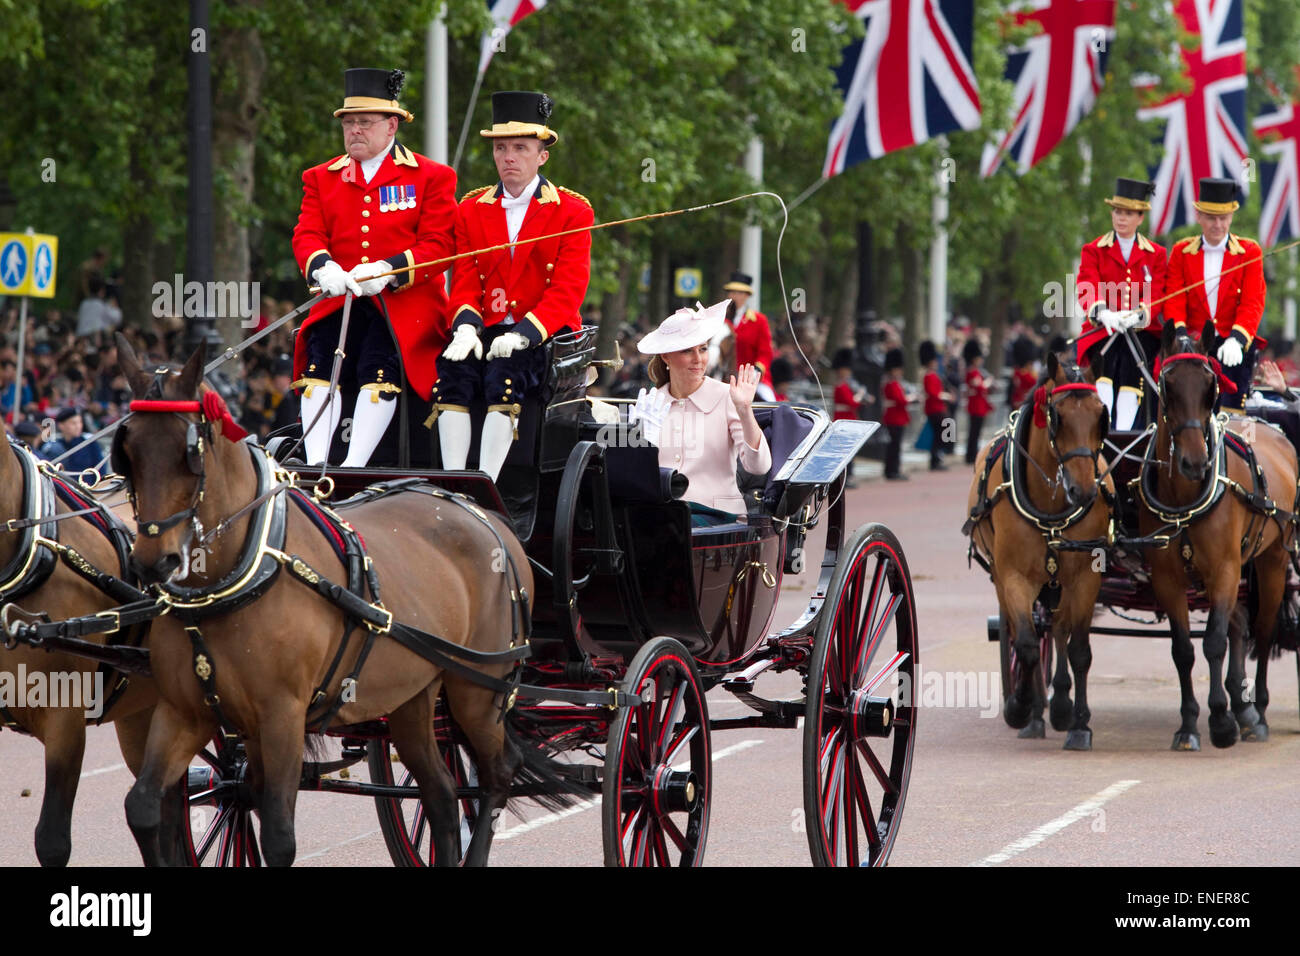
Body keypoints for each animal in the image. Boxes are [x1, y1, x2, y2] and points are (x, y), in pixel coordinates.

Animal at [109, 338, 540, 868]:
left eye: (190, 452)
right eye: (127, 451)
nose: (154, 561)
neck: (240, 574)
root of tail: (485, 514)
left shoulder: (283, 715)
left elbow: (278, 834)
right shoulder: (185, 712)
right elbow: (146, 805)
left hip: (478, 689)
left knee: (498, 774)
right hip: (413, 694)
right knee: (440, 793)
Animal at [972, 351, 1112, 749]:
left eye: (1101, 415)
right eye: (1057, 416)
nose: (1083, 491)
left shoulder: (1085, 577)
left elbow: (1079, 650)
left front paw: (1079, 724)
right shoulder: (1013, 576)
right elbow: (1027, 645)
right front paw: (1020, 706)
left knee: (1060, 631)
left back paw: (1061, 704)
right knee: (1035, 633)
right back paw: (1035, 714)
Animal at [1138, 325, 1289, 749]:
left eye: (1210, 386)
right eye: (1168, 385)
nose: (1194, 463)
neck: (1184, 496)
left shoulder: (1223, 569)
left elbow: (1214, 642)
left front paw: (1220, 721)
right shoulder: (1167, 578)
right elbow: (1184, 650)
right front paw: (1189, 724)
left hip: (1273, 559)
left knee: (1263, 630)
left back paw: (1258, 712)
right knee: (1240, 625)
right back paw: (1243, 706)